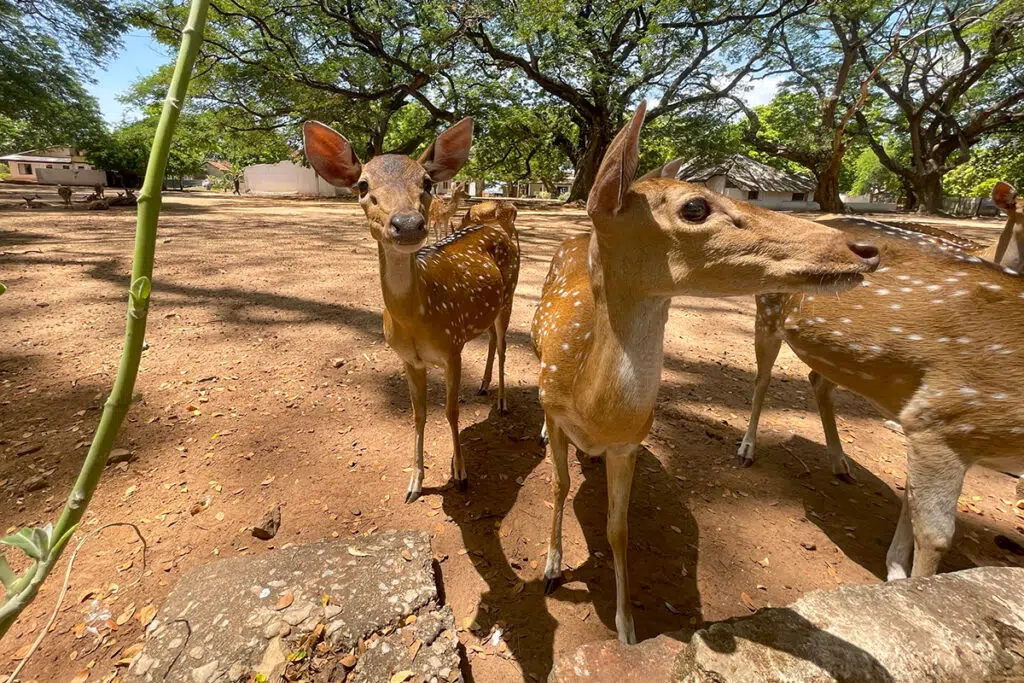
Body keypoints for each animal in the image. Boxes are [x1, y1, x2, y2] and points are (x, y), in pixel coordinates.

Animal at [303, 118, 520, 503]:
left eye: (427, 182)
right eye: (362, 185)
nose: (406, 224)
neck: (418, 317)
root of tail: (497, 227)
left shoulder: (451, 348)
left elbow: (450, 411)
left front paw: (460, 474)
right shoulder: (408, 358)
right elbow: (418, 415)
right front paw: (415, 483)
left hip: (509, 296)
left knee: (505, 345)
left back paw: (503, 402)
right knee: (494, 342)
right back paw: (482, 387)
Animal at [533, 101, 881, 644]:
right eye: (695, 207)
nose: (863, 250)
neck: (593, 410)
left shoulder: (630, 442)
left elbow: (619, 528)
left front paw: (627, 625)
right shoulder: (554, 403)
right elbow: (559, 487)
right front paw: (551, 569)